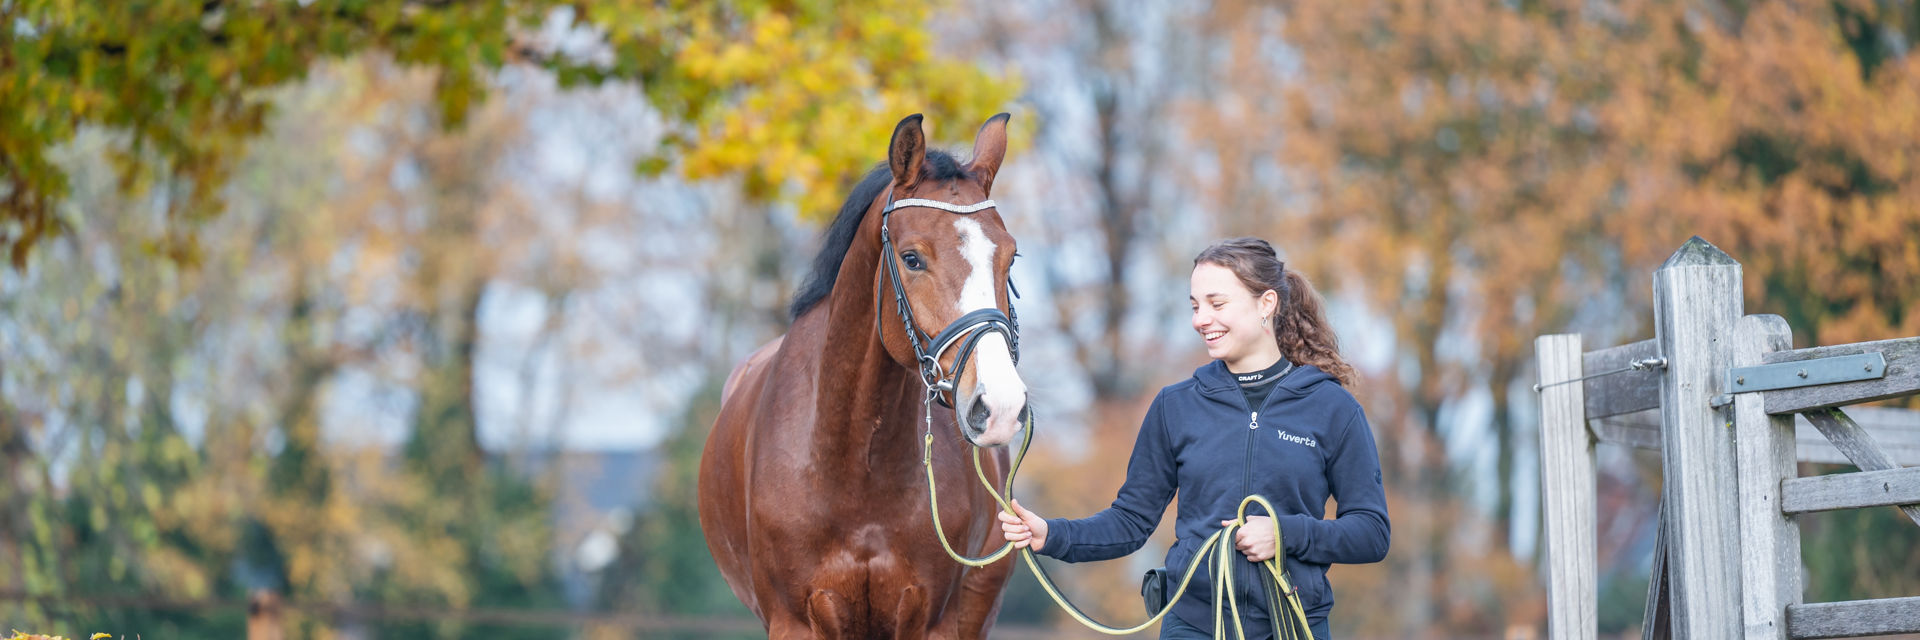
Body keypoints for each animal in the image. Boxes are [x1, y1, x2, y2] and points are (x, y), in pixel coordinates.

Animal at [699, 113, 1032, 639]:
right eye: (912, 258)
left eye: (1010, 257)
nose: (999, 406)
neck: (854, 468)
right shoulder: (794, 622)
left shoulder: (931, 621)